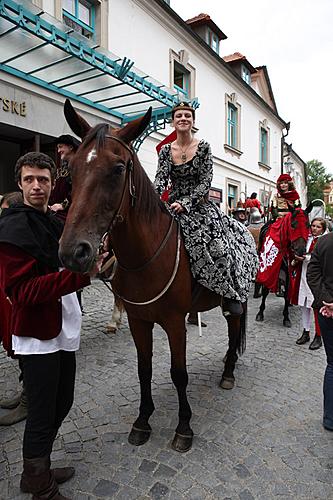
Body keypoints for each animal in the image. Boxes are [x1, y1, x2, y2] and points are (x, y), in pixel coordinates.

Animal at [59, 100, 246, 454]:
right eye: (71, 169)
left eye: (119, 169)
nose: (73, 251)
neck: (146, 257)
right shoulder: (139, 321)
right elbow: (143, 369)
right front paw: (142, 421)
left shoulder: (174, 322)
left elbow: (178, 373)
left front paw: (184, 427)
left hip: (235, 298)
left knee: (234, 327)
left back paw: (228, 372)